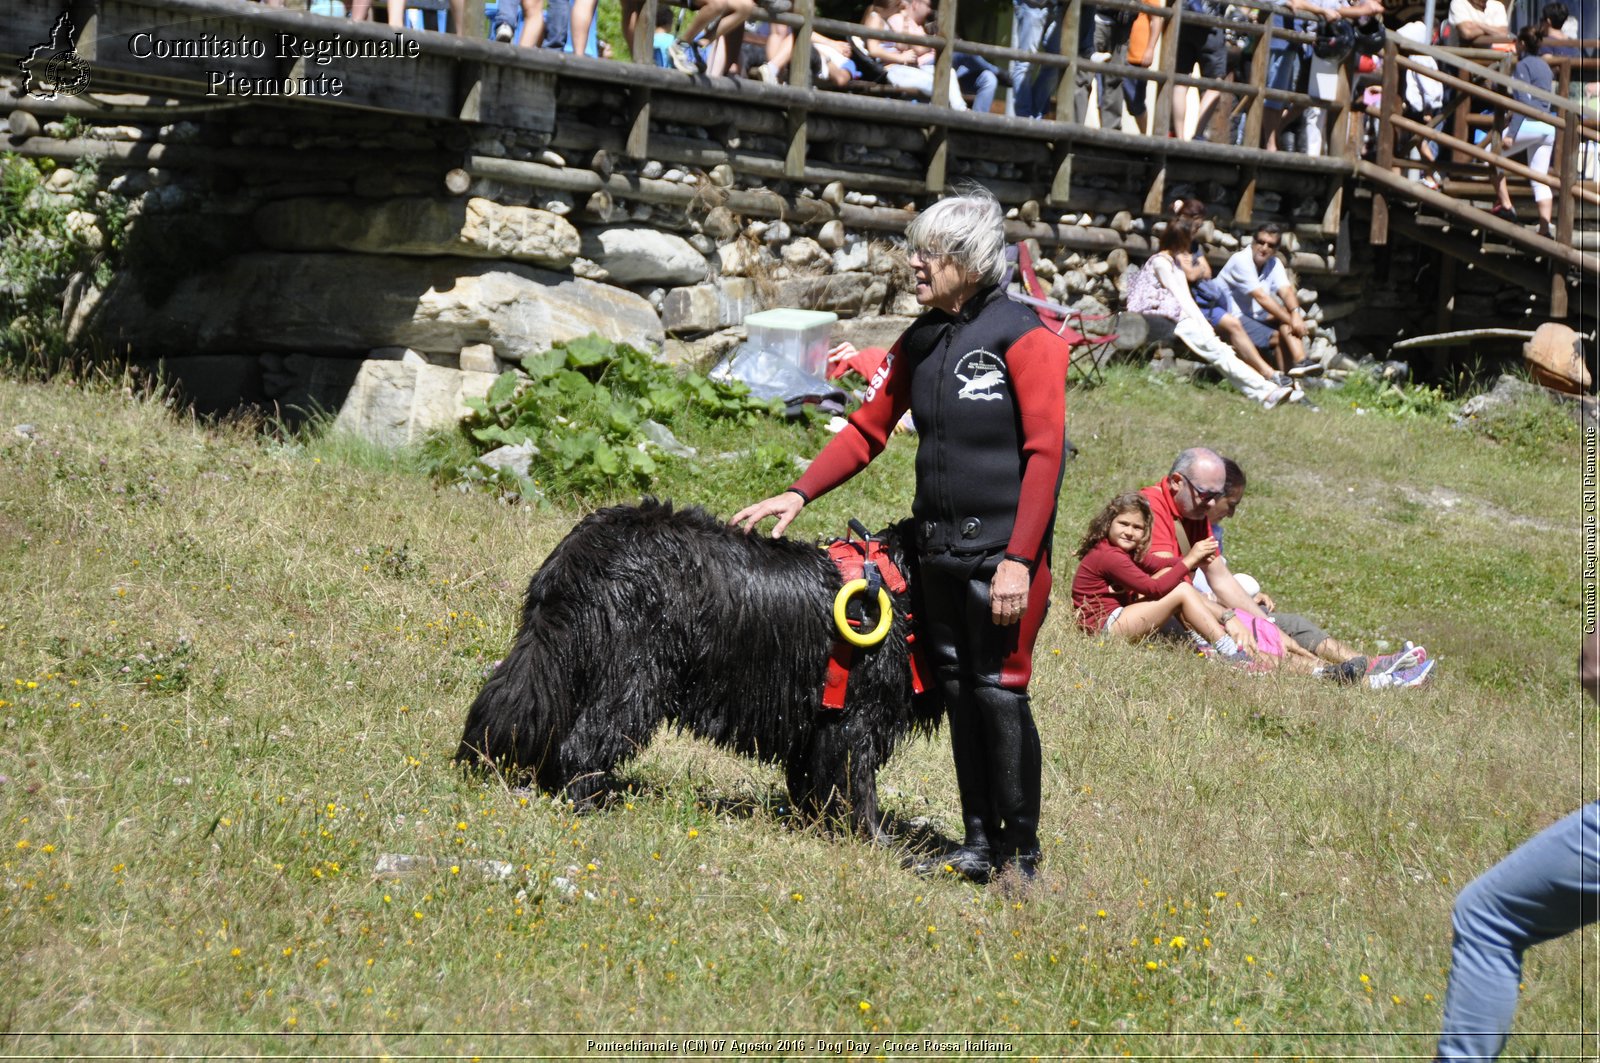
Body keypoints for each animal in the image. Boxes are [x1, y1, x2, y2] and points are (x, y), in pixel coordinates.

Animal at [457, 499, 940, 838]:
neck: (900, 584)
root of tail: (586, 544)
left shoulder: (818, 724)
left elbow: (815, 780)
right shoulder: (856, 718)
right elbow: (856, 783)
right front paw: (874, 841)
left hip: (554, 649)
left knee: (515, 700)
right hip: (639, 671)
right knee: (587, 739)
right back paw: (588, 801)